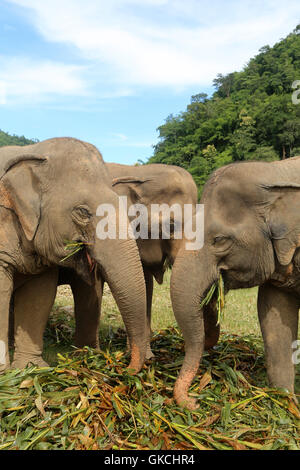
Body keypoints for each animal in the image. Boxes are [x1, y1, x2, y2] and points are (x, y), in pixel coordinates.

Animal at [0, 136, 148, 374]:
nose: (125, 366)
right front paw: (9, 373)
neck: (34, 152)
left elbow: (40, 295)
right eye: (82, 212)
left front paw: (32, 368)